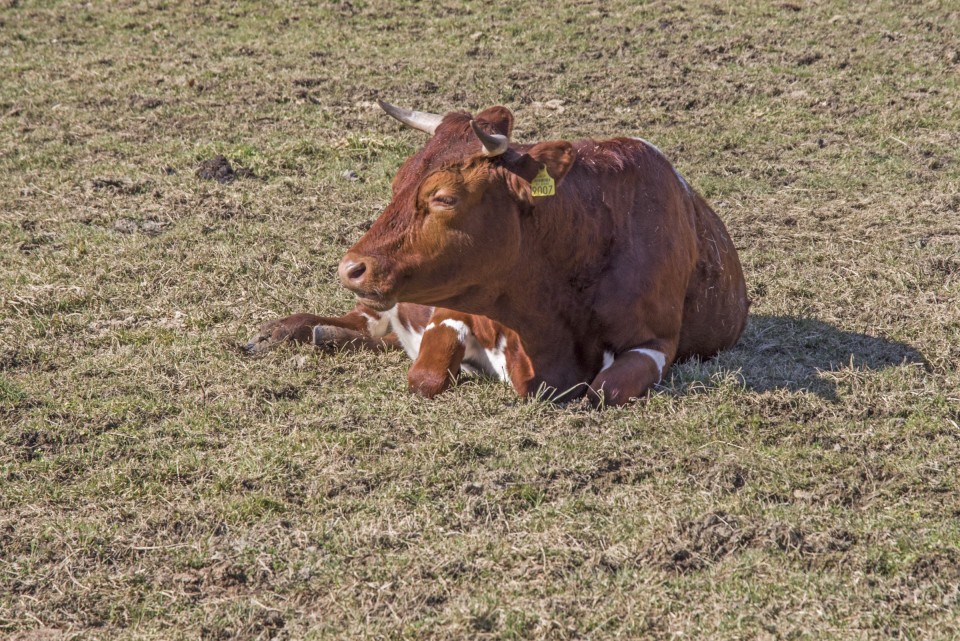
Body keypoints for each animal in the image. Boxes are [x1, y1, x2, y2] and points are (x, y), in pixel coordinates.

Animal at [244, 100, 748, 404]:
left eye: (444, 197)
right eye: (397, 182)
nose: (351, 268)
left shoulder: (656, 343)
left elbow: (603, 389)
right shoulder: (451, 310)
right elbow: (425, 375)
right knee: (364, 320)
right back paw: (285, 331)